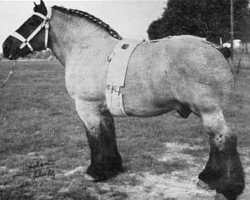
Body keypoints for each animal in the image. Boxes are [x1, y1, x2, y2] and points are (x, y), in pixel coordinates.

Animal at [1, 0, 244, 199]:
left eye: (32, 21)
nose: (6, 47)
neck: (88, 49)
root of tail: (217, 48)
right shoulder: (103, 110)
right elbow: (108, 136)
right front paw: (112, 168)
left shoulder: (87, 109)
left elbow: (95, 139)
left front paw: (95, 172)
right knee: (215, 139)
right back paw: (207, 178)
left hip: (209, 110)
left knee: (225, 138)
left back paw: (227, 186)